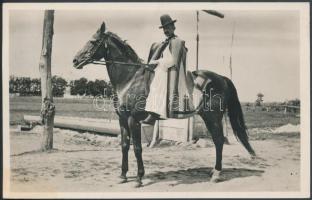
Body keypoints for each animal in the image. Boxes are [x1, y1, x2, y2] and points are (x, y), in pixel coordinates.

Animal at [73, 22, 256, 188]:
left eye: (92, 41)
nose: (75, 60)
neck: (130, 79)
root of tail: (221, 78)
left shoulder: (133, 120)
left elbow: (137, 148)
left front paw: (139, 178)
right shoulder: (122, 120)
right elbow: (124, 146)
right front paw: (123, 176)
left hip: (213, 117)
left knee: (218, 141)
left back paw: (216, 174)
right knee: (219, 141)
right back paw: (214, 171)